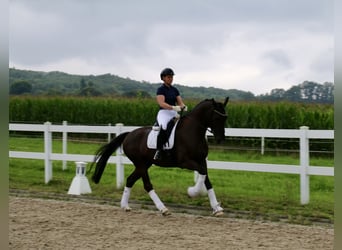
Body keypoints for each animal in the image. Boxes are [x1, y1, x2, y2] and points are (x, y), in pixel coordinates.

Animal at [91, 96, 230, 216]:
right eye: (216, 118)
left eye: (225, 118)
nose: (221, 139)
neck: (193, 131)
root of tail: (129, 134)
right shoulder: (185, 162)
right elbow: (202, 174)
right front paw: (193, 191)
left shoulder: (201, 160)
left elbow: (206, 179)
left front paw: (217, 208)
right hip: (141, 164)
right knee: (147, 185)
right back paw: (163, 209)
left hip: (144, 164)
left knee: (130, 180)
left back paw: (125, 206)